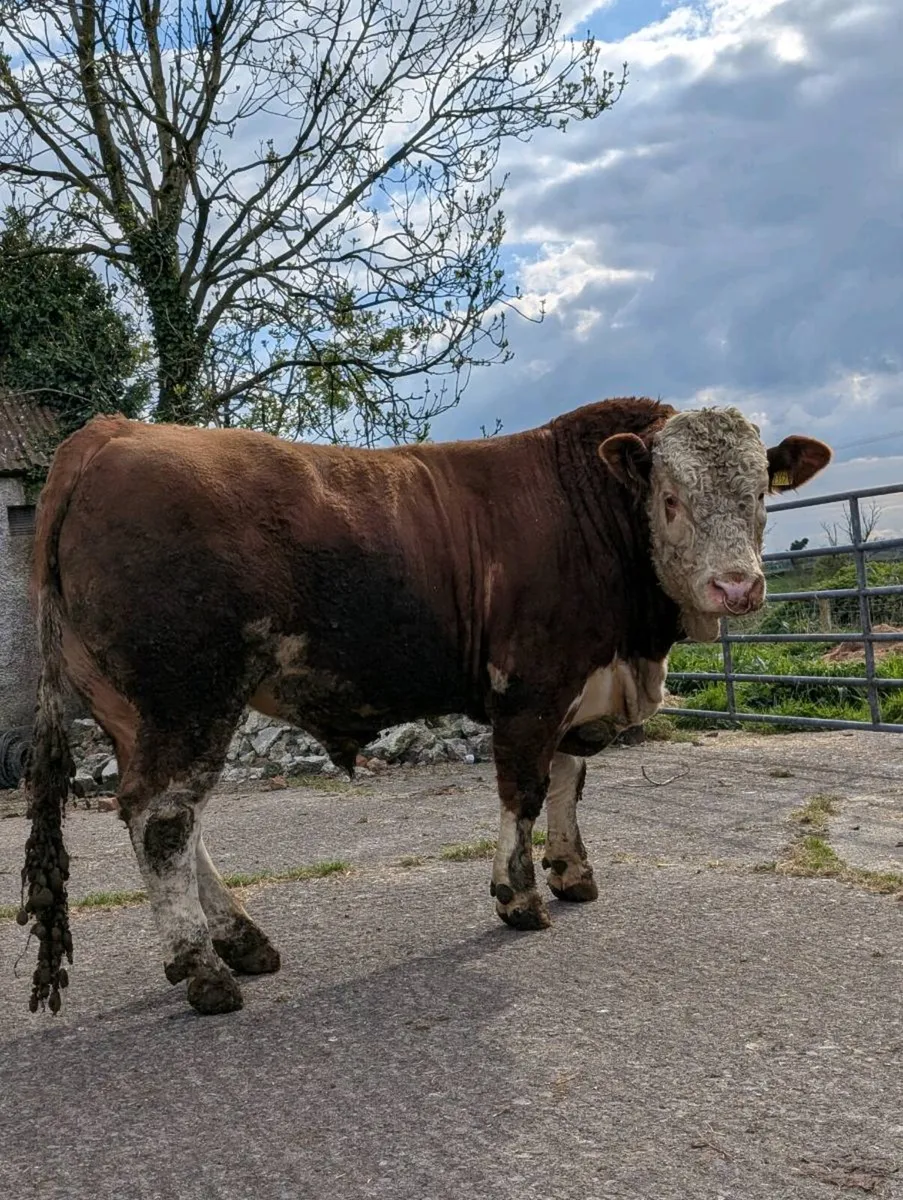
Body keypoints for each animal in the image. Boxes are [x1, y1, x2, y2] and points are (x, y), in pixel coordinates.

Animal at [19, 398, 831, 1016]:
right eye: (670, 500)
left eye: (760, 495)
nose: (737, 587)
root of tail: (110, 432)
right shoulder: (532, 685)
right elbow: (523, 790)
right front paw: (518, 898)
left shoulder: (581, 687)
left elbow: (568, 782)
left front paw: (571, 873)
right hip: (189, 696)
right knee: (163, 820)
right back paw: (203, 969)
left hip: (142, 713)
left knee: (166, 819)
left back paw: (241, 940)